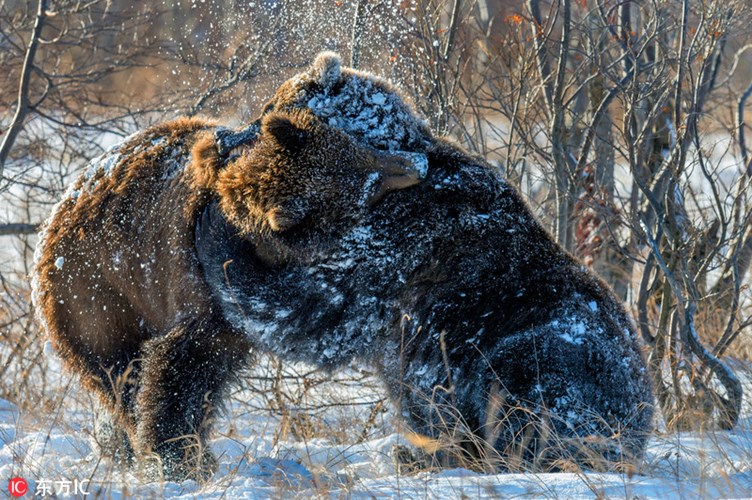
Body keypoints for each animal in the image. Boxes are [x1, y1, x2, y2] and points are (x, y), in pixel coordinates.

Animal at [32, 108, 424, 476]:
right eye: (368, 184)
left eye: (359, 151)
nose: (417, 163)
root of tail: (51, 221)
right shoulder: (200, 290)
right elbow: (178, 370)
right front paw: (174, 456)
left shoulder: (235, 312)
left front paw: (189, 453)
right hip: (96, 297)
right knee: (118, 375)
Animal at [197, 55, 656, 472]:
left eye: (267, 107)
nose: (226, 134)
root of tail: (646, 412)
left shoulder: (386, 254)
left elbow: (306, 310)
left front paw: (220, 231)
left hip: (549, 352)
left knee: (524, 405)